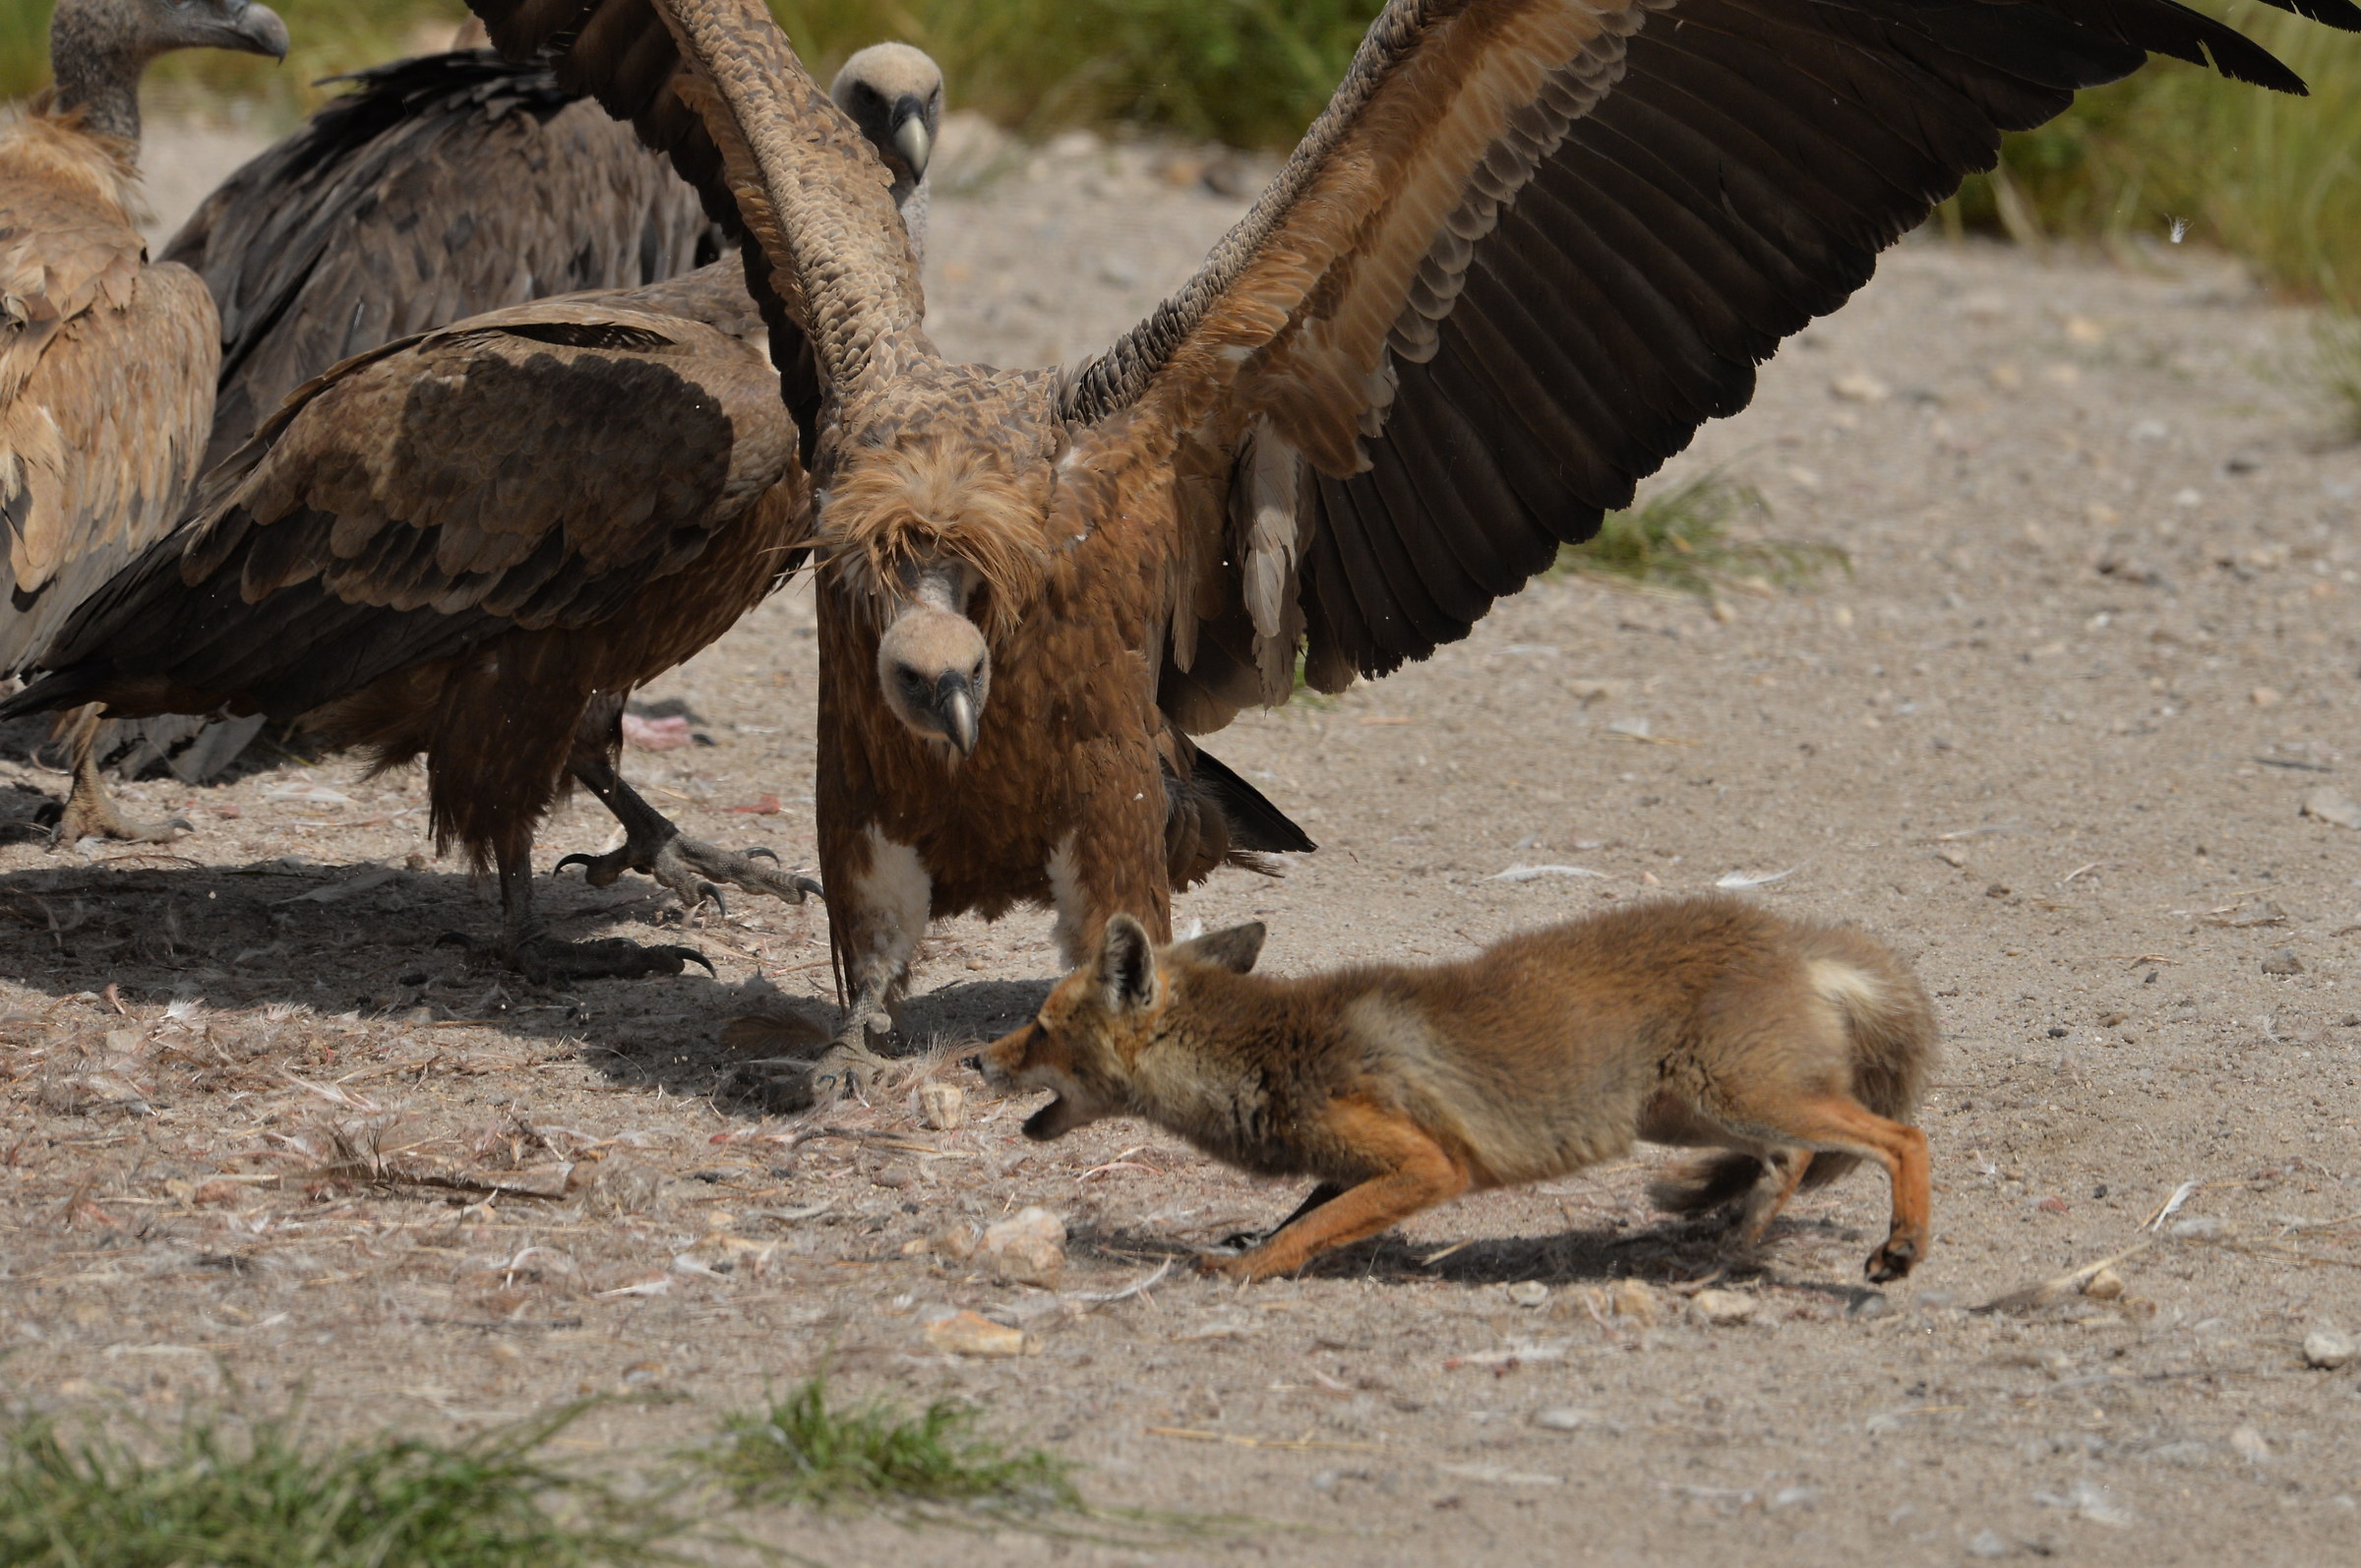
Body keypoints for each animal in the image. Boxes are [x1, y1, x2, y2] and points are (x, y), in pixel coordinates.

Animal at [980, 894, 1938, 1283]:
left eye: (1041, 1024)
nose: (976, 1062)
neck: (1266, 1051)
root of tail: (1792, 939)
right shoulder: (1363, 1159)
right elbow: (1308, 1209)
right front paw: (1254, 1241)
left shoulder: (1430, 1165)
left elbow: (1311, 1230)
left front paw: (1247, 1269)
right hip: (1693, 1115)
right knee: (1797, 1155)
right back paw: (1741, 1230)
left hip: (1734, 1098)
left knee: (1900, 1137)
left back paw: (1898, 1248)